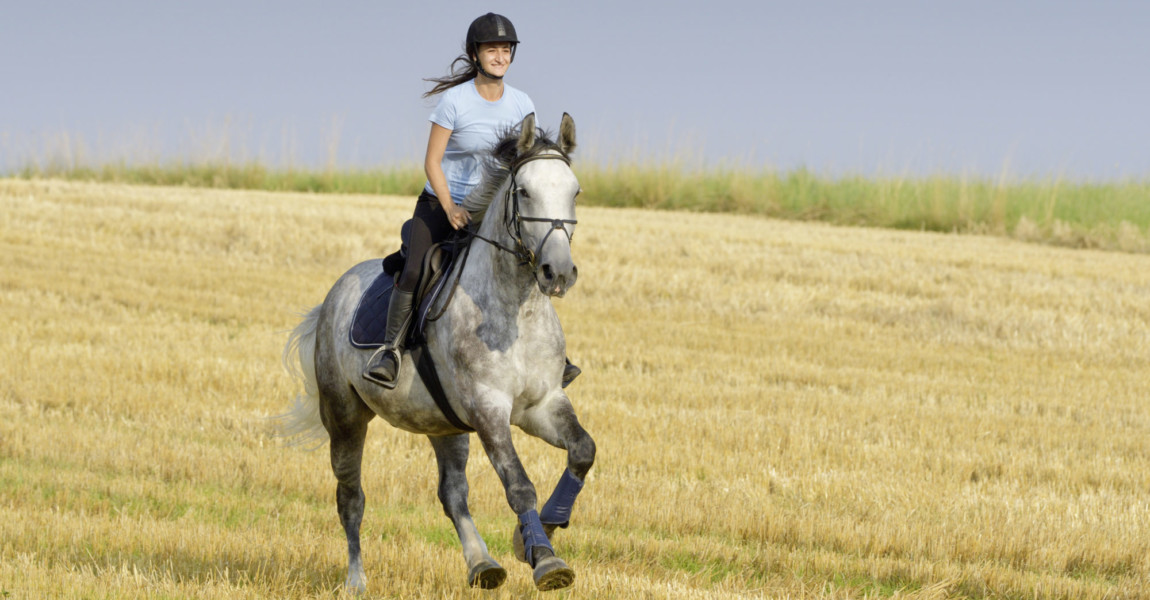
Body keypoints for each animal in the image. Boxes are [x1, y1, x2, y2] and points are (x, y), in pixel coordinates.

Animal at [280, 114, 593, 588]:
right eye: (524, 191)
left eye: (574, 191)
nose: (558, 272)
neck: (516, 310)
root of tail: (333, 295)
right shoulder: (488, 410)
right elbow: (519, 485)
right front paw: (545, 560)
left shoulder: (542, 405)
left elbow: (582, 452)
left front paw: (538, 534)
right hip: (345, 416)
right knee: (350, 498)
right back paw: (356, 580)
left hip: (443, 423)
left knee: (452, 493)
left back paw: (482, 564)